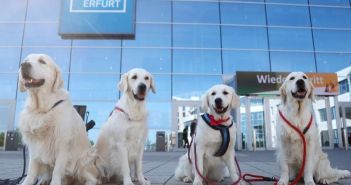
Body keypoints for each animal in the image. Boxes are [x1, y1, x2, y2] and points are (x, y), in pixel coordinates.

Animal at [18, 53, 99, 185]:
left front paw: (55, 182)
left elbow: (57, 169)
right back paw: (44, 180)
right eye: (26, 60)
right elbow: (31, 170)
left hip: (83, 160)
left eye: (42, 61)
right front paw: (27, 182)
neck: (41, 109)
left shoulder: (63, 143)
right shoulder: (34, 145)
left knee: (93, 178)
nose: (23, 65)